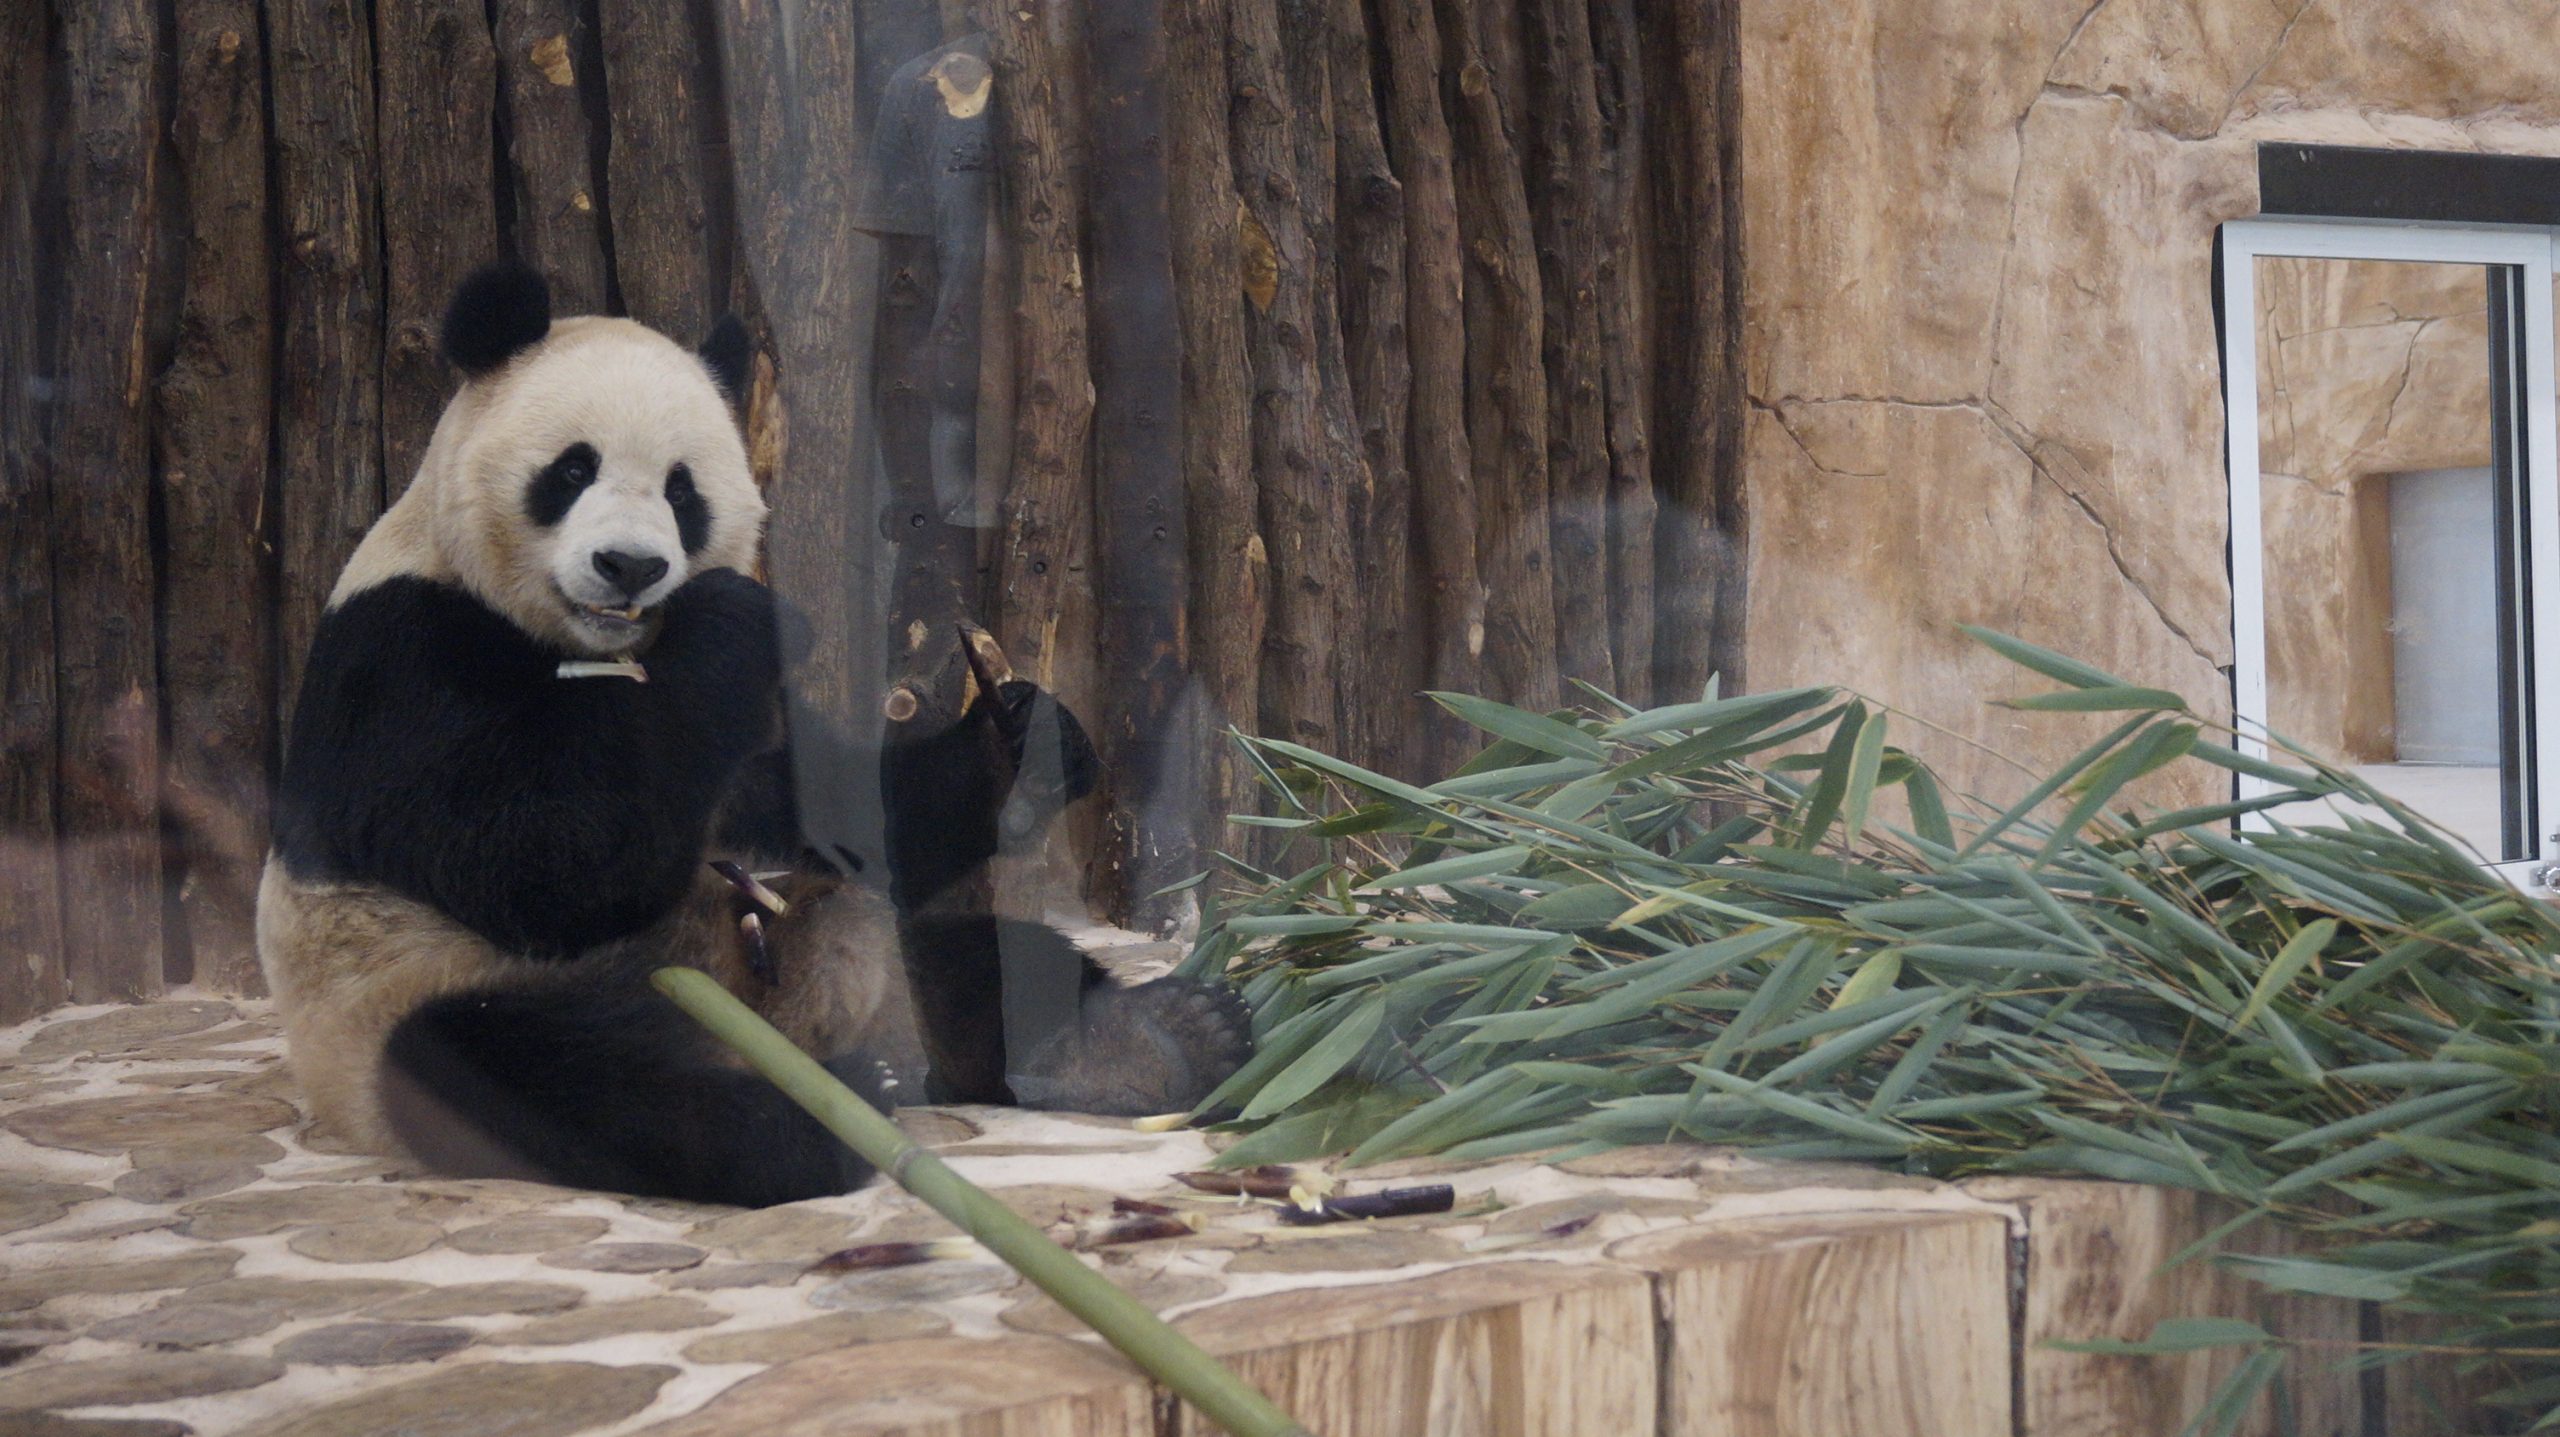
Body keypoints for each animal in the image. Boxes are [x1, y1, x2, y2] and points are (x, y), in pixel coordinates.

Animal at [259, 263, 1249, 1203]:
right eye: (572, 471)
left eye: (681, 490)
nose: (631, 565)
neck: (606, 652)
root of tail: (787, 1030)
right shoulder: (403, 659)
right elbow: (544, 863)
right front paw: (732, 616)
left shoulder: (740, 736)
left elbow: (836, 814)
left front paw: (1020, 740)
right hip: (419, 1000)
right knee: (564, 1079)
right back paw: (823, 1118)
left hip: (850, 937)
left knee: (978, 963)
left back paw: (1152, 1040)